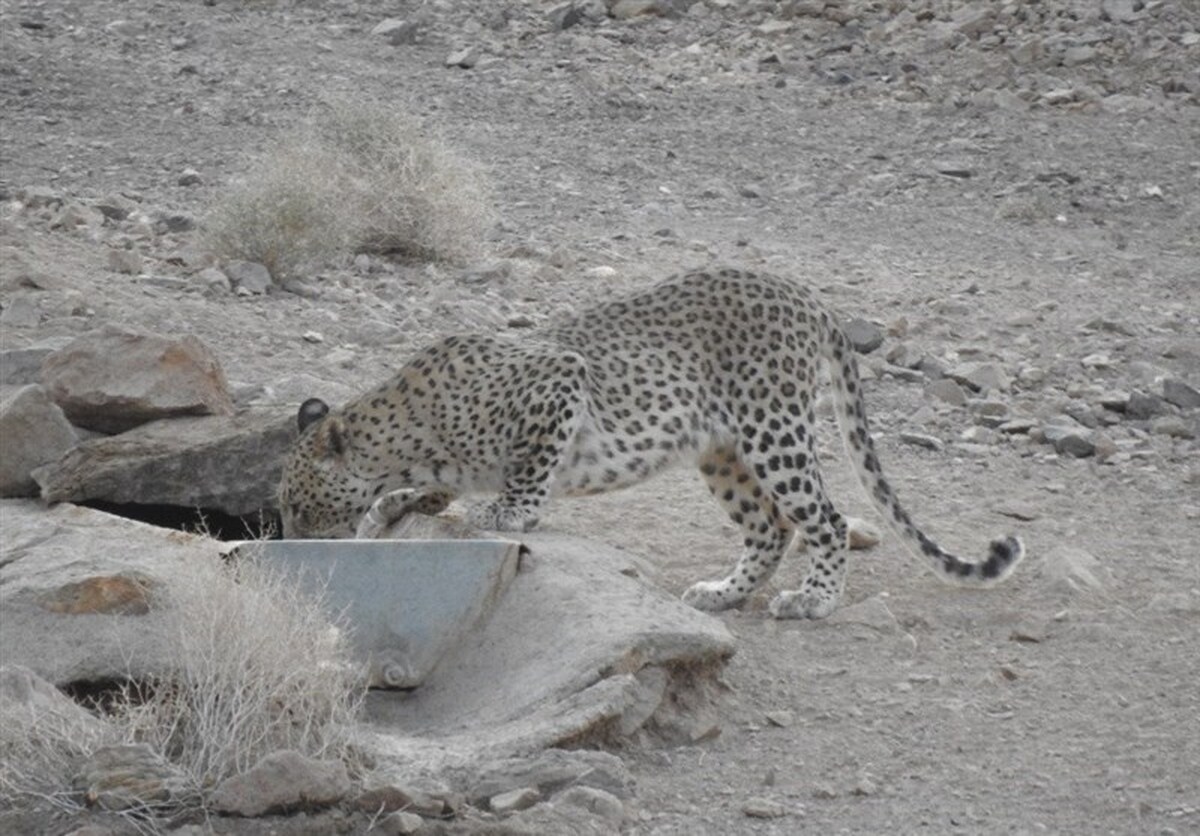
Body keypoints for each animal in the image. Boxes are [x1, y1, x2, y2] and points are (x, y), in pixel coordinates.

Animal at [278, 263, 1022, 614]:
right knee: (771, 528)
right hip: (722, 452)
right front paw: (386, 511)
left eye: (297, 503)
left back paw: (813, 600)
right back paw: (724, 592)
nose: (291, 540)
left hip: (773, 428)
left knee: (827, 520)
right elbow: (416, 494)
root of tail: (806, 294)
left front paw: (509, 512)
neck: (405, 434)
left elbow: (528, 473)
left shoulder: (558, 382)